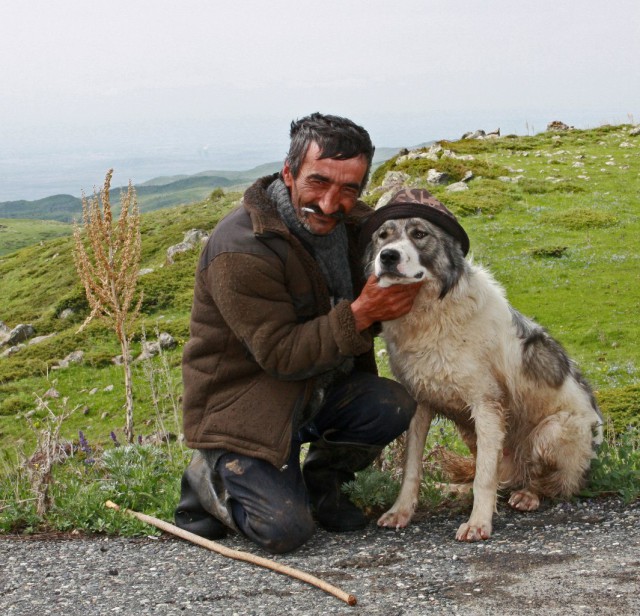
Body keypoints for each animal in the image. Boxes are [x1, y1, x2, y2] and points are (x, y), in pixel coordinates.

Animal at [362, 189, 604, 544]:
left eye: (419, 234)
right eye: (383, 235)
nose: (388, 256)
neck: (430, 313)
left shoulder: (487, 405)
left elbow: (484, 479)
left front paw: (479, 523)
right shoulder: (420, 403)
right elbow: (411, 470)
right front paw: (400, 512)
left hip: (553, 432)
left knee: (556, 484)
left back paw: (528, 495)